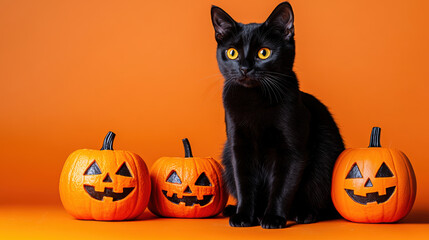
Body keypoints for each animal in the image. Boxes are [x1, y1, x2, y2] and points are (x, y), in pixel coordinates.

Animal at [211, 1, 344, 228]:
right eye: (232, 53)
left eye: (264, 53)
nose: (245, 68)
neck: (255, 100)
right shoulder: (238, 147)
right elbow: (244, 183)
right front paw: (244, 216)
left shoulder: (293, 150)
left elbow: (283, 187)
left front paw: (273, 218)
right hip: (227, 157)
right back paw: (237, 211)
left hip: (324, 163)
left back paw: (304, 214)